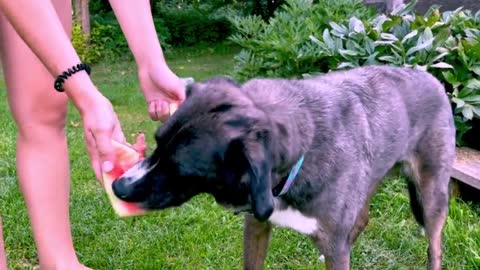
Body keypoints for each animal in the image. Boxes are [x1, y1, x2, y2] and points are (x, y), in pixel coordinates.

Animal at [110, 66, 456, 270]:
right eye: (157, 142)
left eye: (181, 167)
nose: (118, 187)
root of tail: (431, 76)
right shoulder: (256, 225)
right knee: (361, 219)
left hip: (432, 195)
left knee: (435, 246)